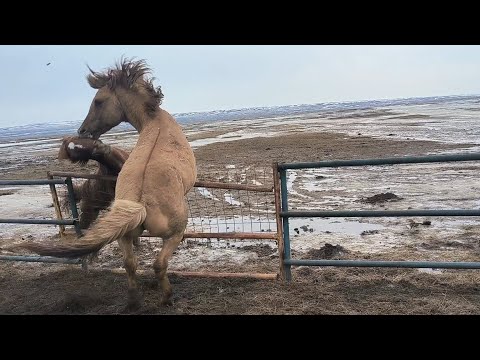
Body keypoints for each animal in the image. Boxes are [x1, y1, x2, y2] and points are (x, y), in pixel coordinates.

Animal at [17, 57, 197, 308]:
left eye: (98, 101)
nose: (83, 130)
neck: (155, 122)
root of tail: (140, 203)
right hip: (173, 234)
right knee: (159, 264)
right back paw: (166, 298)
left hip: (124, 236)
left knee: (130, 264)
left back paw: (133, 302)